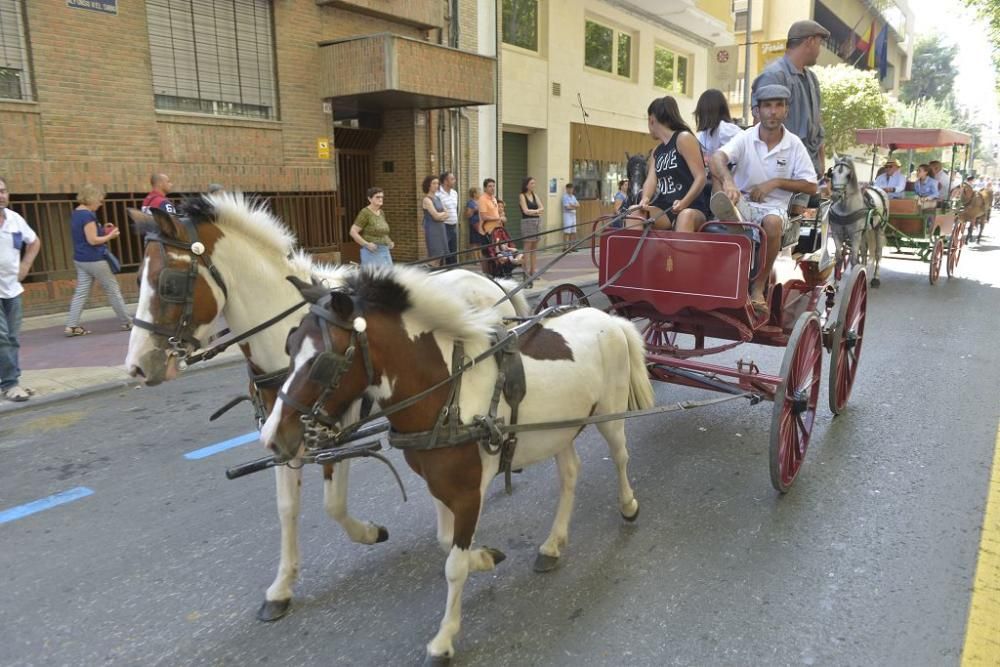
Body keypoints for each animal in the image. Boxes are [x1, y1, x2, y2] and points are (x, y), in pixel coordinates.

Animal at [125, 196, 532, 624]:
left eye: (167, 283)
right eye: (138, 281)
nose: (138, 366)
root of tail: (491, 281)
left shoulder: (332, 429)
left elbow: (333, 503)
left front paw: (368, 532)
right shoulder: (284, 435)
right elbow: (287, 507)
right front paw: (282, 587)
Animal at [262, 264, 656, 664]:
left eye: (322, 363)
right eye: (289, 347)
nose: (272, 437)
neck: (449, 393)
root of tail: (607, 318)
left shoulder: (468, 494)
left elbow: (453, 566)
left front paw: (444, 639)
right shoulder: (438, 483)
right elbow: (445, 541)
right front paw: (484, 558)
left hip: (609, 414)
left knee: (620, 455)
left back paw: (628, 505)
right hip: (557, 430)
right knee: (570, 474)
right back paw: (552, 544)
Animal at [824, 159, 888, 290]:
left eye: (848, 175)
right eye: (832, 174)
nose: (835, 196)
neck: (845, 208)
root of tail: (878, 189)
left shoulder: (855, 234)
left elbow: (854, 260)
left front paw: (855, 283)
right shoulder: (837, 233)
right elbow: (839, 257)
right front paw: (835, 284)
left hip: (878, 230)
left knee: (878, 254)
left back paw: (875, 279)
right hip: (864, 233)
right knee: (863, 251)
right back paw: (864, 269)